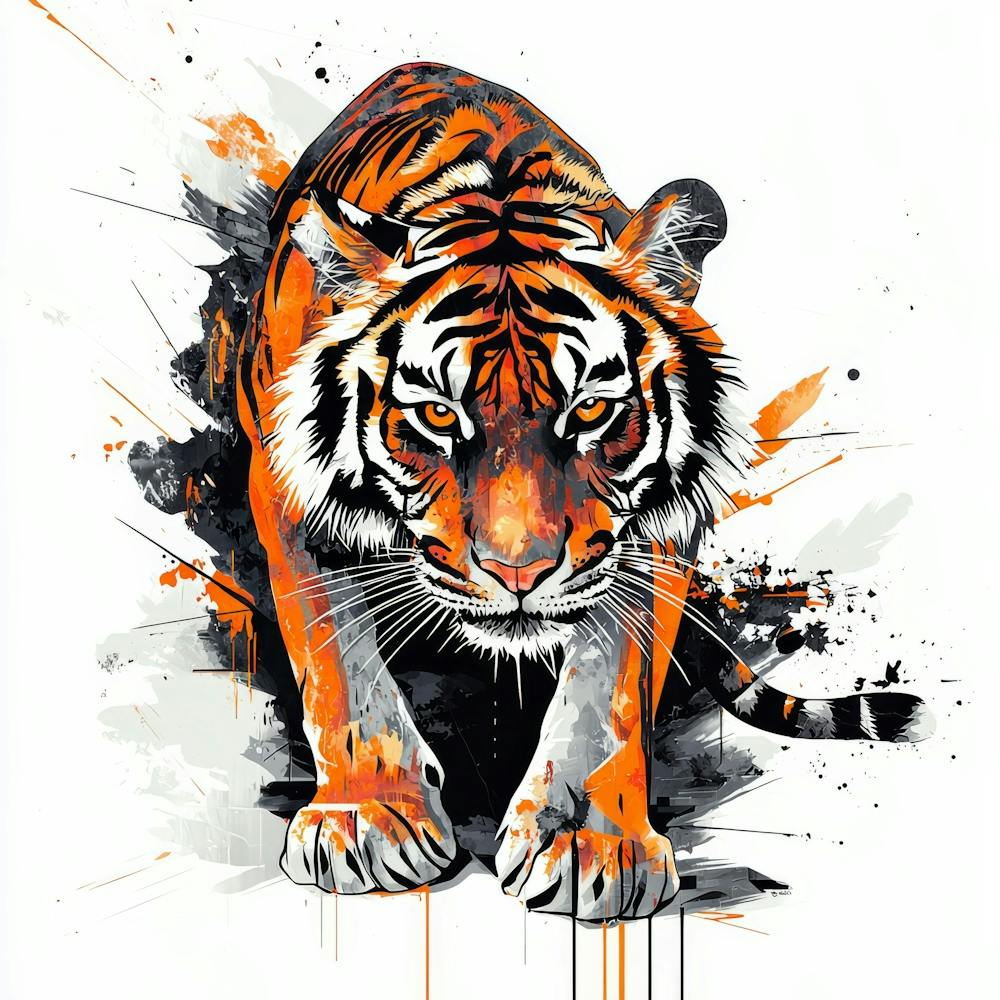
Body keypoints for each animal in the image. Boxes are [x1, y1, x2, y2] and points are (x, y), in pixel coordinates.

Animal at [235, 62, 929, 920]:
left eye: (591, 409)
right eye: (438, 413)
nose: (519, 573)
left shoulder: (653, 535)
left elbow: (610, 684)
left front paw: (590, 840)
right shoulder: (289, 492)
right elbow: (339, 660)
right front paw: (368, 819)